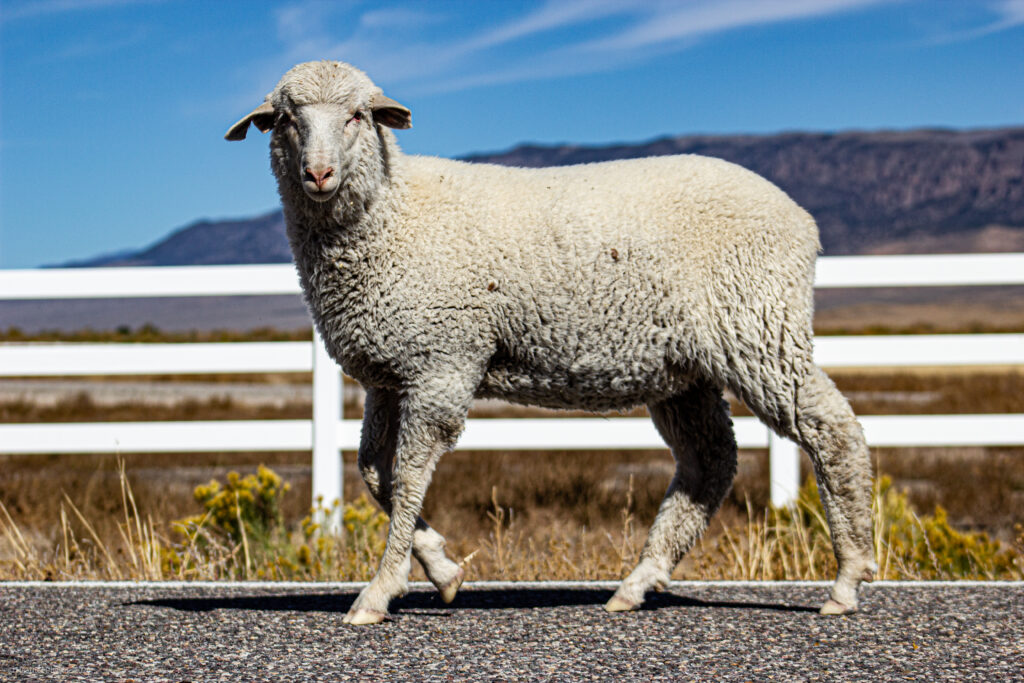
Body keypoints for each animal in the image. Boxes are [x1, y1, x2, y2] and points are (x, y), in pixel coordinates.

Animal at [226, 60, 876, 625]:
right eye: (285, 119)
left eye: (358, 115)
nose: (318, 174)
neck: (395, 209)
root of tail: (802, 218)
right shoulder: (391, 372)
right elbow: (372, 474)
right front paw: (443, 569)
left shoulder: (442, 364)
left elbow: (406, 479)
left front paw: (380, 591)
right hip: (685, 368)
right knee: (710, 460)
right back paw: (638, 583)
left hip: (758, 328)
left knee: (832, 430)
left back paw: (846, 580)